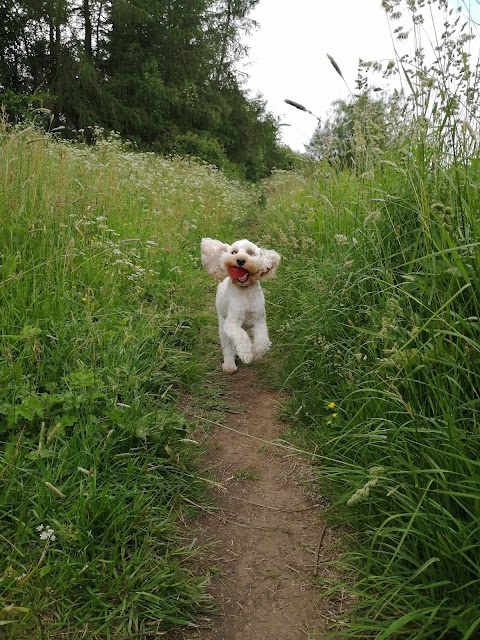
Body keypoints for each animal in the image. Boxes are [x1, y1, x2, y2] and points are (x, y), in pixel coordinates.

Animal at [200, 238, 282, 372]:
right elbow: (241, 337)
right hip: (222, 325)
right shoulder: (231, 322)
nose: (240, 260)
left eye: (250, 253)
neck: (245, 291)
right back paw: (229, 365)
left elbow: (262, 341)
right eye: (234, 252)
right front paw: (246, 354)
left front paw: (255, 352)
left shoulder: (259, 320)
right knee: (227, 345)